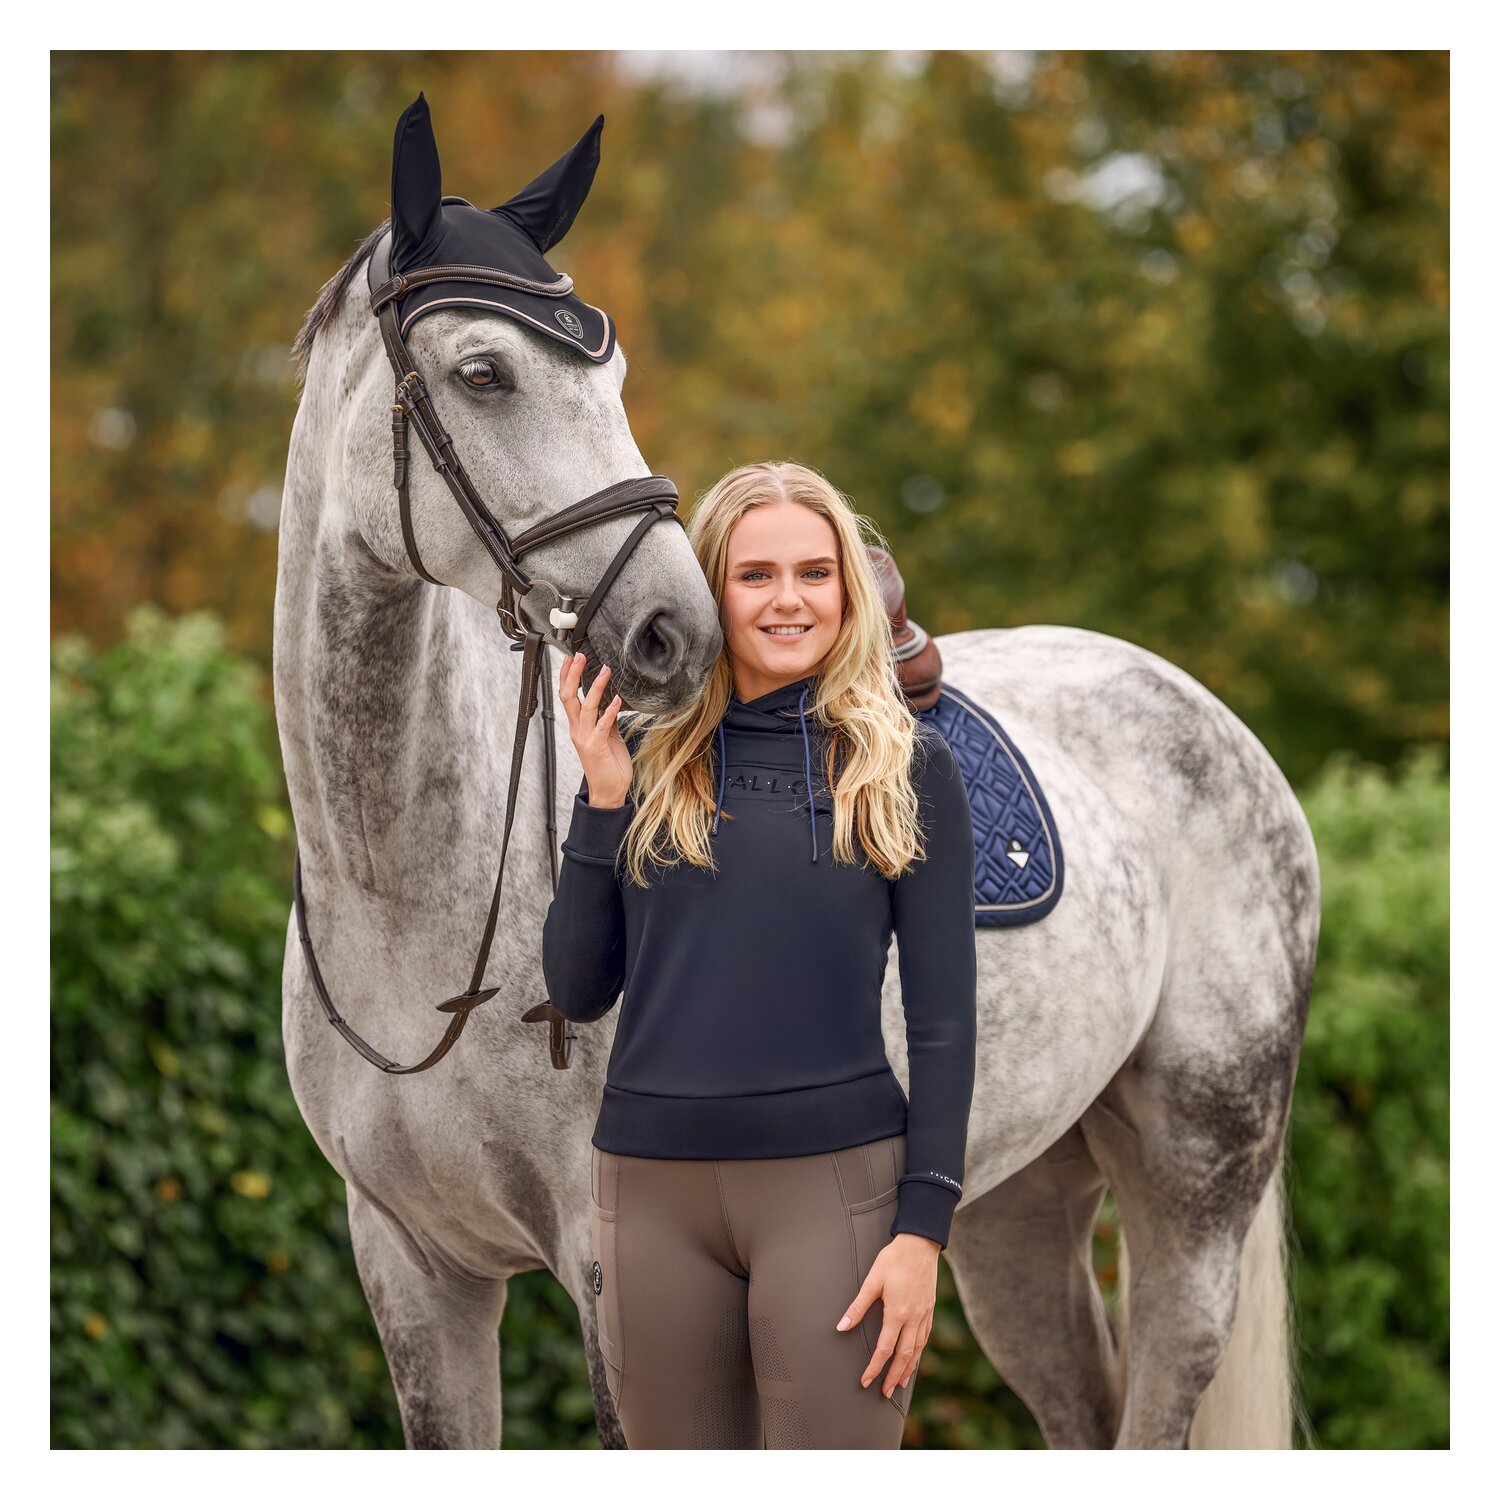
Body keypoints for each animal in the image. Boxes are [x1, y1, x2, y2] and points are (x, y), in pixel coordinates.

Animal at [275, 222, 1318, 1454]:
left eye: (613, 382)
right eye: (483, 372)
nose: (674, 631)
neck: (405, 900)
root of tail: (1210, 718)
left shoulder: (601, 1259)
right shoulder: (413, 1268)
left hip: (1198, 1180)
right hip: (1013, 1210)